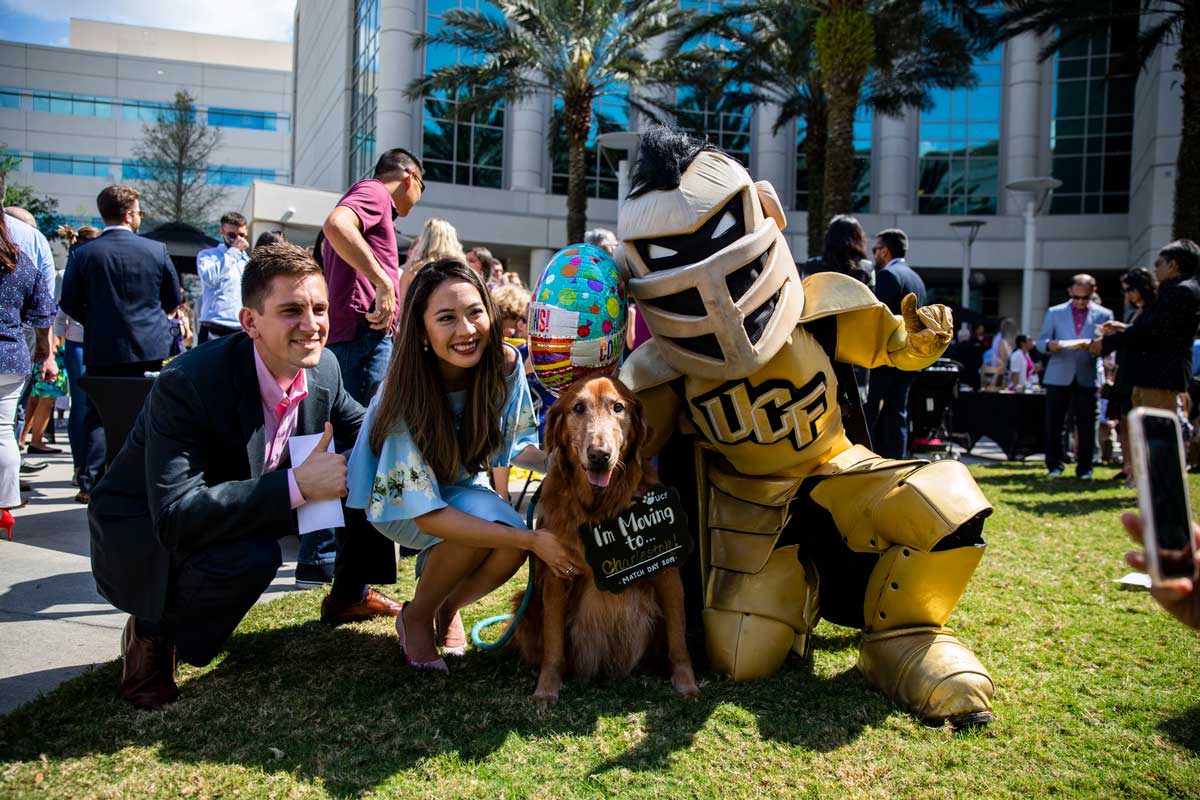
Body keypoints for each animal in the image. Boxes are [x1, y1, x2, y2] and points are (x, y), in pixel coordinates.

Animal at [511, 374, 700, 700]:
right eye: (577, 407)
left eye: (618, 407)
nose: (600, 455)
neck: (599, 507)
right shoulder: (556, 576)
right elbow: (553, 643)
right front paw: (547, 688)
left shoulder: (667, 571)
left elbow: (678, 639)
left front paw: (686, 683)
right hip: (524, 605)